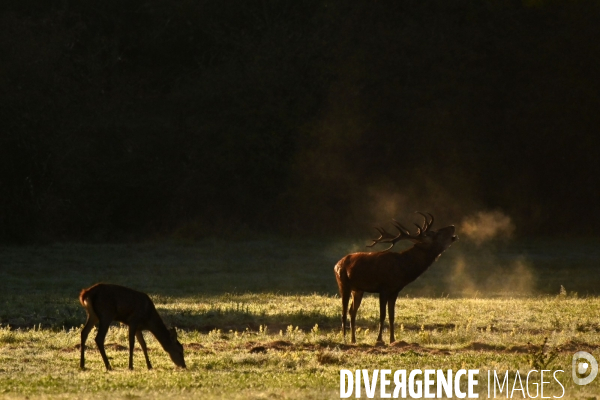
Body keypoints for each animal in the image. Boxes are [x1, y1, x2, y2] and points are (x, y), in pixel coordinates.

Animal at [332, 212, 460, 344]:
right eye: (435, 233)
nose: (452, 226)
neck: (403, 269)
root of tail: (336, 265)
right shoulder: (383, 288)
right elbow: (382, 315)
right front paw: (379, 340)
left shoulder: (395, 291)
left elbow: (392, 315)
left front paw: (392, 339)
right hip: (343, 284)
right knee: (344, 312)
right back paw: (344, 339)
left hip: (358, 289)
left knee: (352, 311)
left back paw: (353, 340)